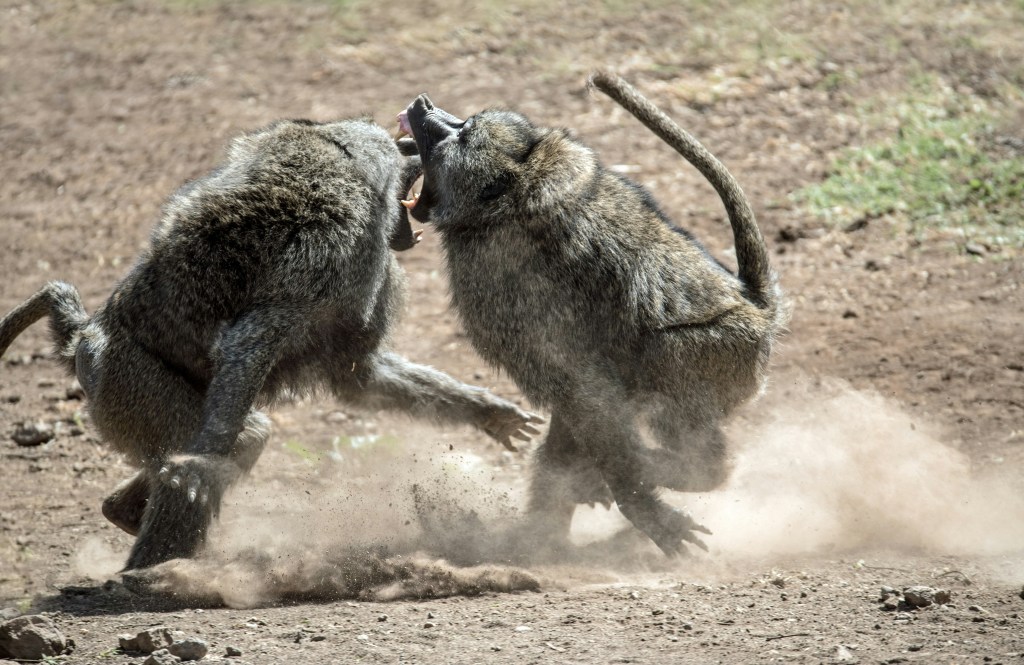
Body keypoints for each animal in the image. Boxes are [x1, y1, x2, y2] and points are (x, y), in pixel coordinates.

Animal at [0, 117, 542, 571]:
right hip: (122, 377)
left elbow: (357, 375)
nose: (410, 146)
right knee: (235, 436)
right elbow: (250, 343)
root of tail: (85, 339)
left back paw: (126, 515)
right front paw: (196, 471)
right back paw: (156, 565)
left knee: (236, 440)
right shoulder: (329, 250)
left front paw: (490, 413)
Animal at [395, 72, 786, 557]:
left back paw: (662, 469)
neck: (510, 196)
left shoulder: (499, 284)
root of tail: (757, 308)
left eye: (462, 133)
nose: (424, 105)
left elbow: (583, 386)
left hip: (719, 352)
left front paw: (641, 505)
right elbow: (578, 398)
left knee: (661, 367)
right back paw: (539, 538)